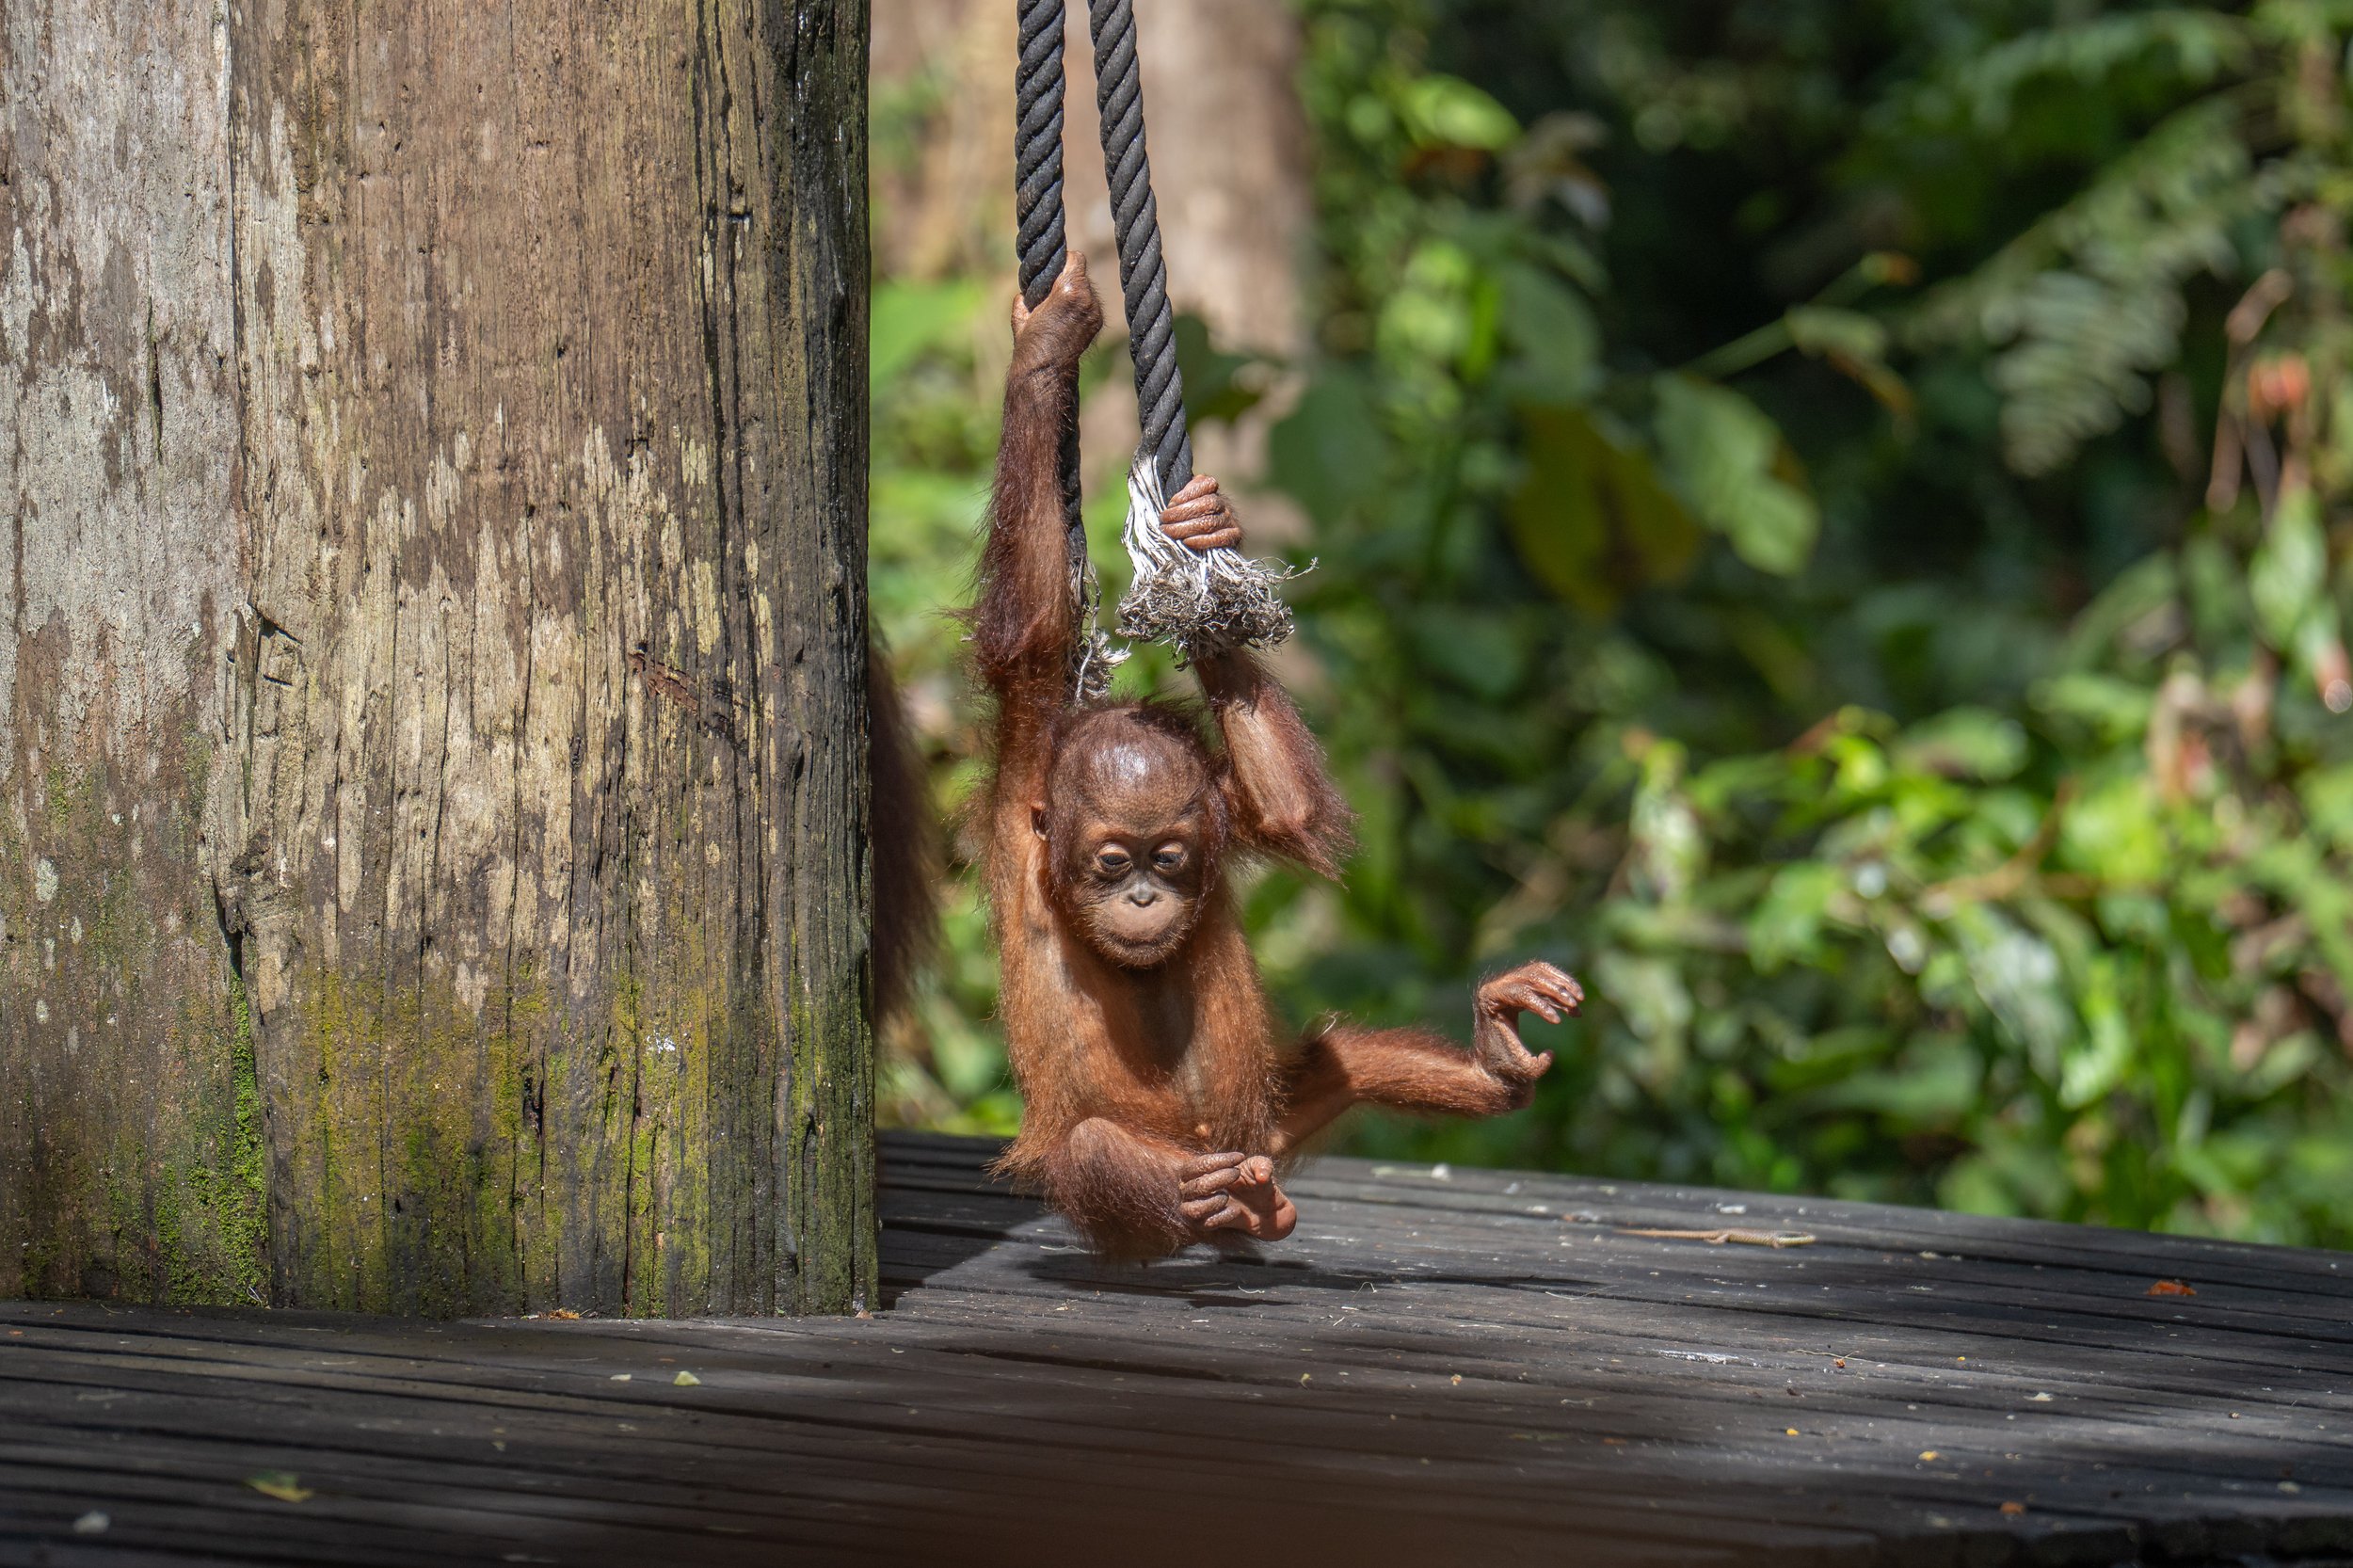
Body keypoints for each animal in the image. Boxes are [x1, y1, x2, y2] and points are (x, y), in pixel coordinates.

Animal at [974, 252, 1584, 1260]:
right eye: (1112, 865)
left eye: (1168, 861)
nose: (1143, 898)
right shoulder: (1029, 772)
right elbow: (1029, 629)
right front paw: (1046, 344)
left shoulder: (1224, 805)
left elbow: (1288, 811)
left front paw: (1205, 557)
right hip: (1162, 1151)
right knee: (1097, 1150)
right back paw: (1209, 1206)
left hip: (1265, 1120)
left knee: (1351, 1058)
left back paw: (1489, 1063)